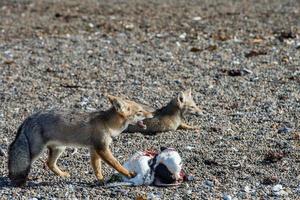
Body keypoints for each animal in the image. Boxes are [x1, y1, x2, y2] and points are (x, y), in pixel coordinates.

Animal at [8, 95, 154, 186]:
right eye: (140, 111)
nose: (153, 113)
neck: (107, 123)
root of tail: (27, 119)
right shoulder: (102, 148)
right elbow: (116, 163)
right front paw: (128, 173)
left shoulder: (94, 150)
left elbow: (97, 168)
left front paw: (100, 180)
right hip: (36, 151)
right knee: (27, 163)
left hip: (59, 148)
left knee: (49, 163)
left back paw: (62, 174)